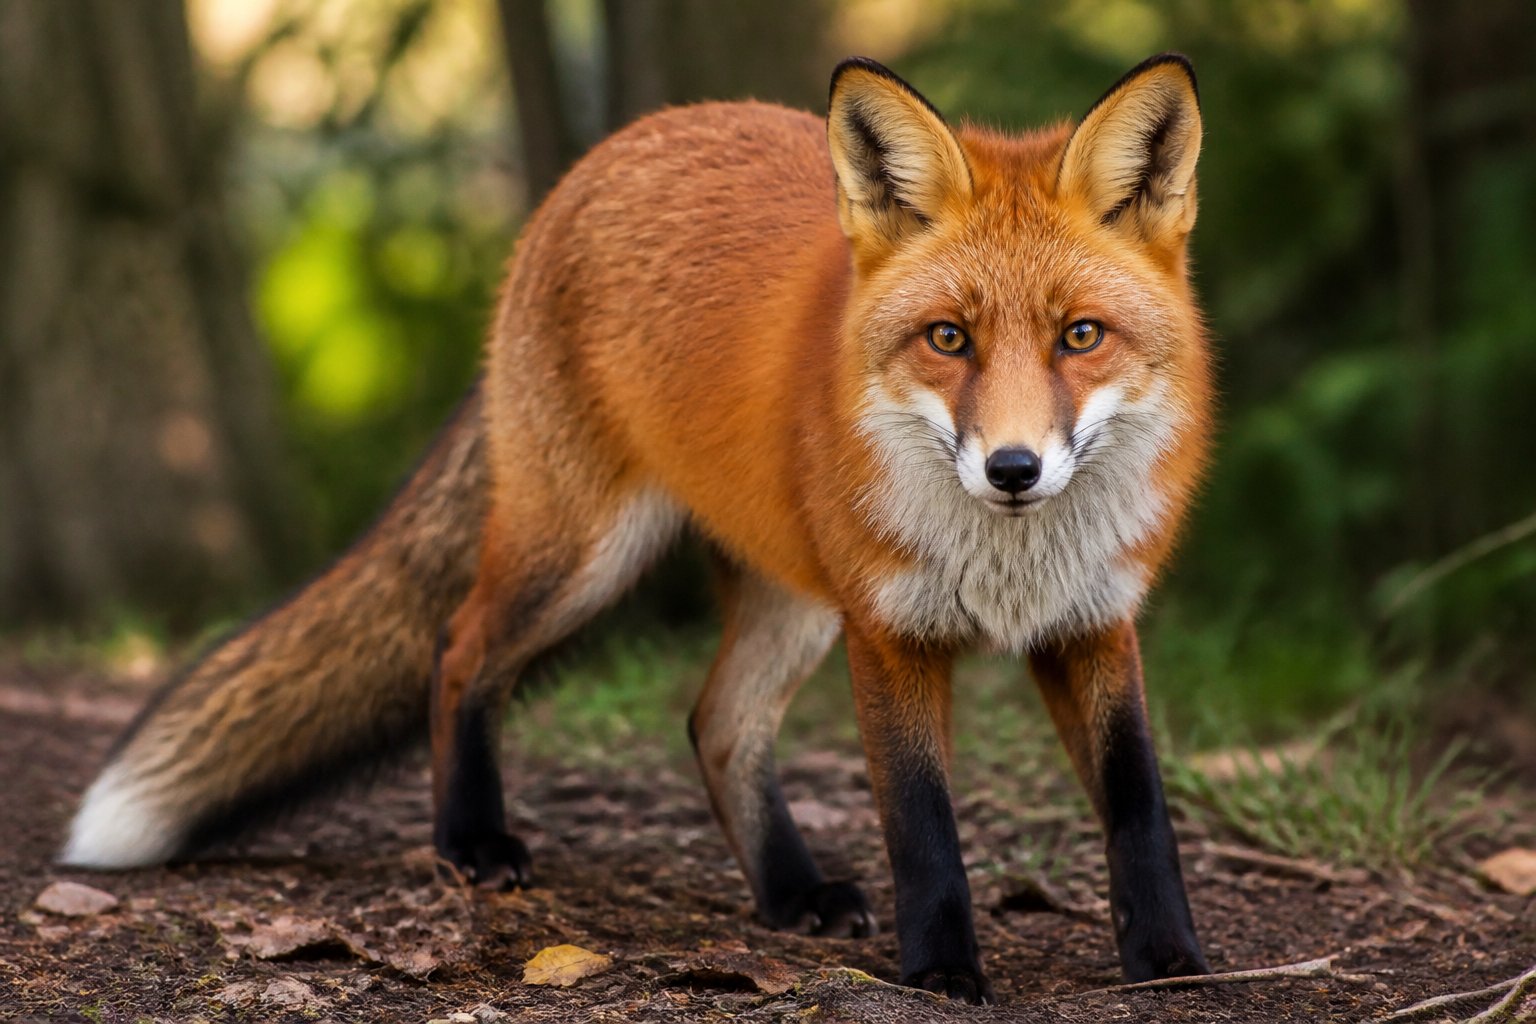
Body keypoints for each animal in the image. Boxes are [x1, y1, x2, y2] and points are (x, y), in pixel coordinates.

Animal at [63, 55, 1214, 1001]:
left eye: (1081, 337)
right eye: (948, 338)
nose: (1013, 469)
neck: (1010, 562)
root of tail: (612, 151)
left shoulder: (1092, 620)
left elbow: (1139, 804)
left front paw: (1171, 962)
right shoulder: (891, 632)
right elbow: (923, 828)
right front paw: (940, 971)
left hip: (793, 593)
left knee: (717, 723)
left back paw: (790, 895)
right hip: (585, 555)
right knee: (459, 647)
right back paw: (471, 841)